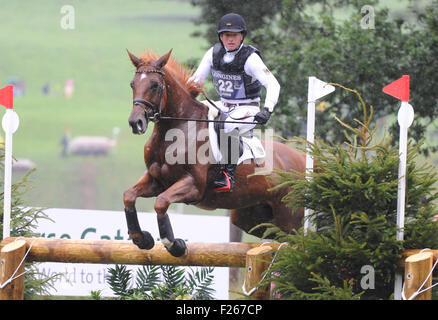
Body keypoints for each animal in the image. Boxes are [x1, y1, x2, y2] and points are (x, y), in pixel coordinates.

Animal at [121, 48, 302, 256]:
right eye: (132, 84)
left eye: (155, 85)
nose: (136, 122)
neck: (174, 130)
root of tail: (302, 158)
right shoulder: (156, 180)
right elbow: (129, 195)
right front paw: (141, 238)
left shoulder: (193, 185)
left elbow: (161, 202)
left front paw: (174, 245)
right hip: (249, 215)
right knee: (271, 234)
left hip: (289, 217)